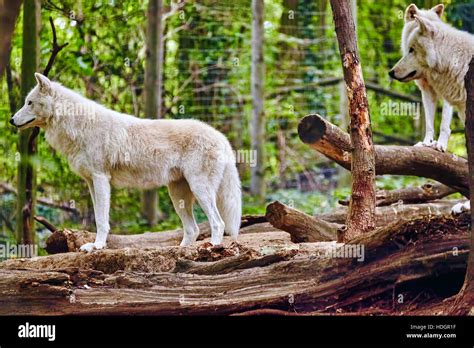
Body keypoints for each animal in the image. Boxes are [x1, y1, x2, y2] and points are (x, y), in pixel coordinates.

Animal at [11, 73, 241, 251]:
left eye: (29, 102)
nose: (11, 120)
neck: (78, 125)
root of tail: (221, 137)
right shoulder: (91, 182)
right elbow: (98, 217)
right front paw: (94, 245)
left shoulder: (100, 178)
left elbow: (102, 220)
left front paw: (97, 246)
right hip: (178, 195)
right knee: (193, 229)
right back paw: (181, 251)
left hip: (199, 189)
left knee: (218, 223)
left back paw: (213, 247)